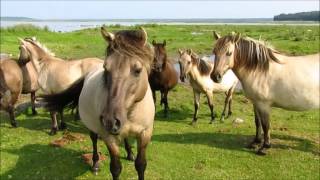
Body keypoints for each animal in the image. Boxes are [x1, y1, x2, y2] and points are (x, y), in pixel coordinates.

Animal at [38, 27, 154, 180]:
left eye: (137, 70)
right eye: (106, 69)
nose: (110, 121)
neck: (131, 113)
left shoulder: (145, 134)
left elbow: (141, 165)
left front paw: (132, 155)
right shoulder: (109, 138)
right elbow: (116, 168)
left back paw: (129, 153)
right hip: (92, 125)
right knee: (93, 139)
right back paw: (95, 163)